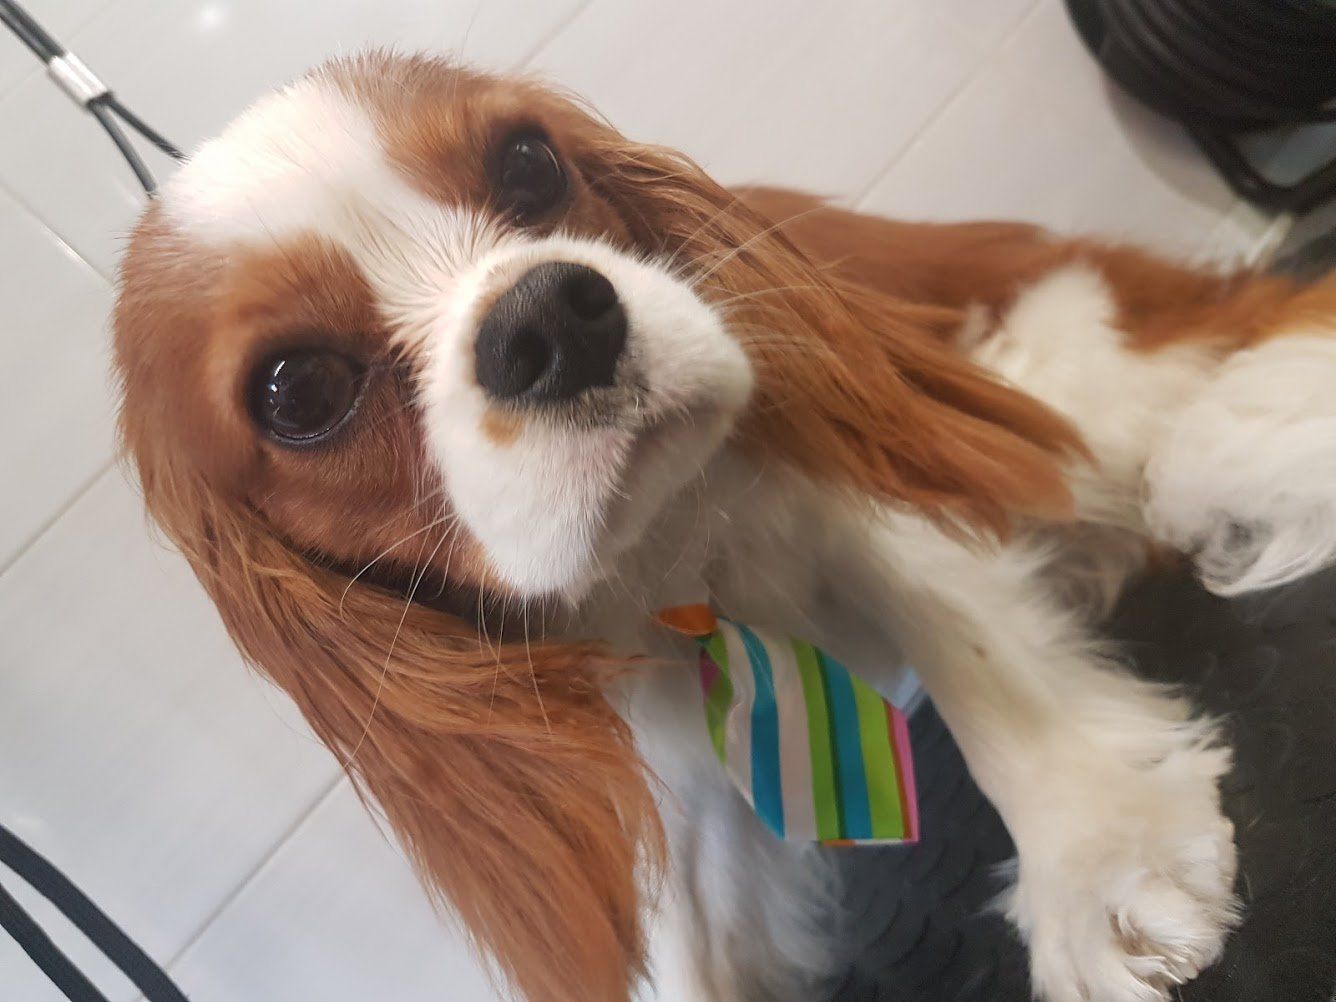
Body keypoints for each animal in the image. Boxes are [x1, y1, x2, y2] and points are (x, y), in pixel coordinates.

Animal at [112, 52, 1336, 1002]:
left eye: (528, 161)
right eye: (300, 393)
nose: (553, 317)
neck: (663, 551)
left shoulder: (859, 492)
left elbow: (973, 656)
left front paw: (1093, 862)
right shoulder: (662, 734)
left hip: (1065, 353)